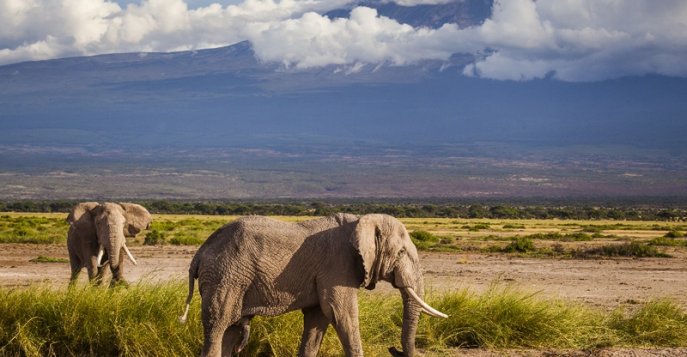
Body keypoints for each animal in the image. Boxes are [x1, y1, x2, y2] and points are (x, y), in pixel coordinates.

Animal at [179, 213, 446, 354]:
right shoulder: (337, 267)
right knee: (218, 324)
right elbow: (341, 314)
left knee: (232, 328)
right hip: (225, 276)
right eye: (401, 253)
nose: (393, 349)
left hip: (232, 278)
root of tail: (200, 252)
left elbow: (318, 319)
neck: (360, 222)